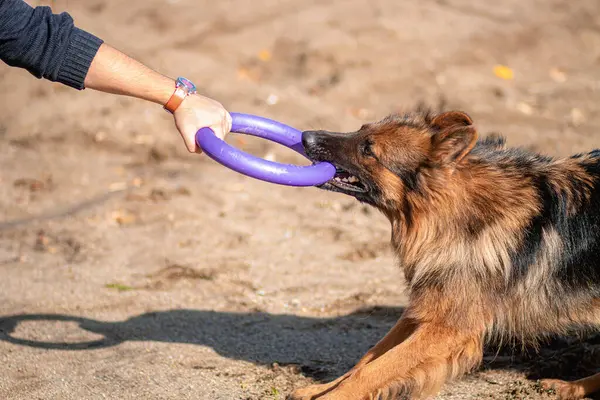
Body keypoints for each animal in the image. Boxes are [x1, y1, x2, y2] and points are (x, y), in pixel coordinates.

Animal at [288, 109, 600, 400]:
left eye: (369, 149)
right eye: (361, 129)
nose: (305, 137)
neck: (457, 212)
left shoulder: (447, 328)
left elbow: (375, 369)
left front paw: (333, 396)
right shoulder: (427, 308)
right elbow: (368, 359)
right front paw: (321, 389)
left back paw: (574, 386)